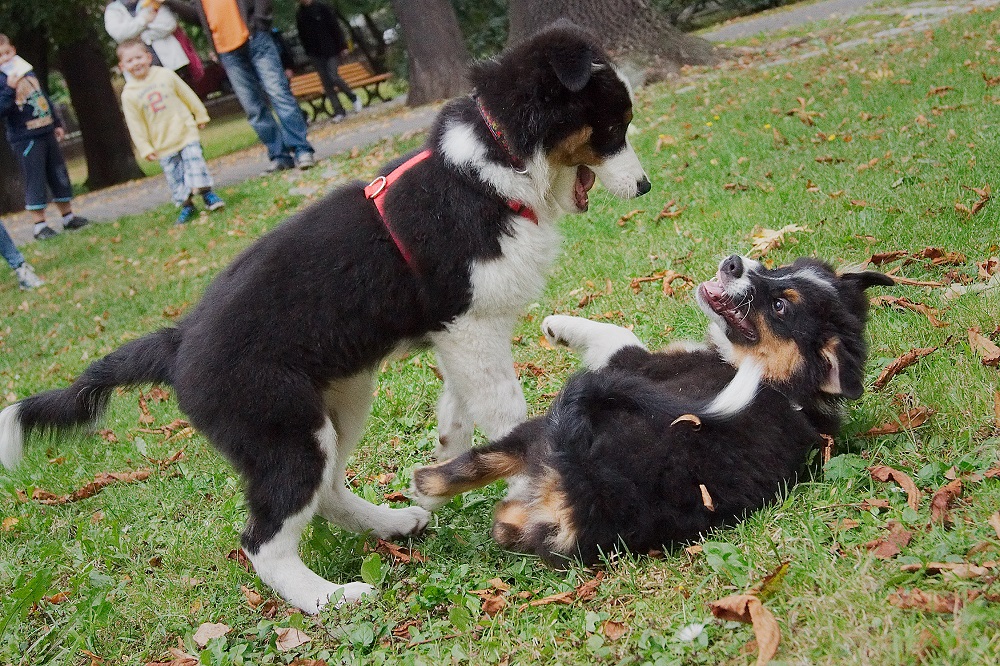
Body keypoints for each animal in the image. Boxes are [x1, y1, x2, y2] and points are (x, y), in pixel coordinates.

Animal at [0, 22, 648, 612]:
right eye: (614, 127)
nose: (644, 186)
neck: (494, 164)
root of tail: (176, 344)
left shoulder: (459, 333)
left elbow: (459, 407)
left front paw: (445, 465)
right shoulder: (469, 326)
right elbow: (505, 412)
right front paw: (525, 478)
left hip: (342, 399)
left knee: (330, 491)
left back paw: (392, 524)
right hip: (283, 430)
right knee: (263, 540)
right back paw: (329, 598)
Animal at [410, 256, 896, 564]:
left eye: (779, 305)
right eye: (782, 268)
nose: (734, 262)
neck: (786, 388)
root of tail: (591, 487)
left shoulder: (638, 364)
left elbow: (618, 334)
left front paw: (557, 325)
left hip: (549, 424)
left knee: (476, 465)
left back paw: (423, 490)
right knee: (506, 520)